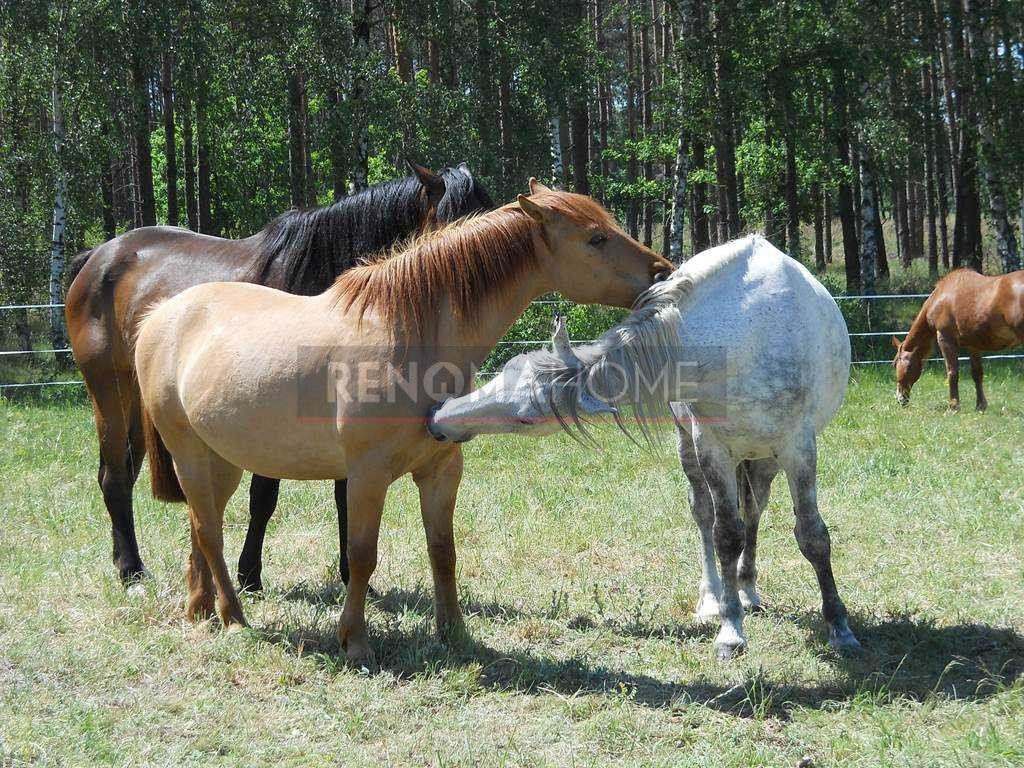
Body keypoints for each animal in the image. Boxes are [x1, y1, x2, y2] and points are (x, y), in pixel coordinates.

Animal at [66, 165, 493, 589]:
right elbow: (264, 496)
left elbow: (344, 495)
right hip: (108, 389)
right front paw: (249, 574)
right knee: (114, 476)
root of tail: (98, 256)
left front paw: (351, 576)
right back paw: (131, 569)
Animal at [132, 182, 675, 667]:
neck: (407, 335)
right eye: (595, 238)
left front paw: (454, 633)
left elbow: (442, 551)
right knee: (210, 531)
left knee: (201, 526)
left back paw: (200, 608)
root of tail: (159, 315)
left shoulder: (440, 471)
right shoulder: (366, 476)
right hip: (189, 453)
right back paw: (232, 617)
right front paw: (355, 641)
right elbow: (361, 556)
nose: (664, 273)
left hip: (222, 460)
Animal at [428, 236, 860, 663]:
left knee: (754, 510)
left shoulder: (798, 447)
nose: (439, 419)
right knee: (708, 515)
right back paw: (715, 598)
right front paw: (730, 631)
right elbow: (725, 535)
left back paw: (749, 589)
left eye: (525, 419)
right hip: (699, 449)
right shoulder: (711, 448)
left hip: (765, 457)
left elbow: (812, 535)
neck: (747, 335)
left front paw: (839, 627)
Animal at [888, 270, 1024, 415]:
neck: (940, 296)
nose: (901, 399)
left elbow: (952, 373)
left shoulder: (945, 339)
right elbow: (977, 374)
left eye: (894, 364)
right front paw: (980, 406)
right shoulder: (973, 345)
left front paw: (953, 407)